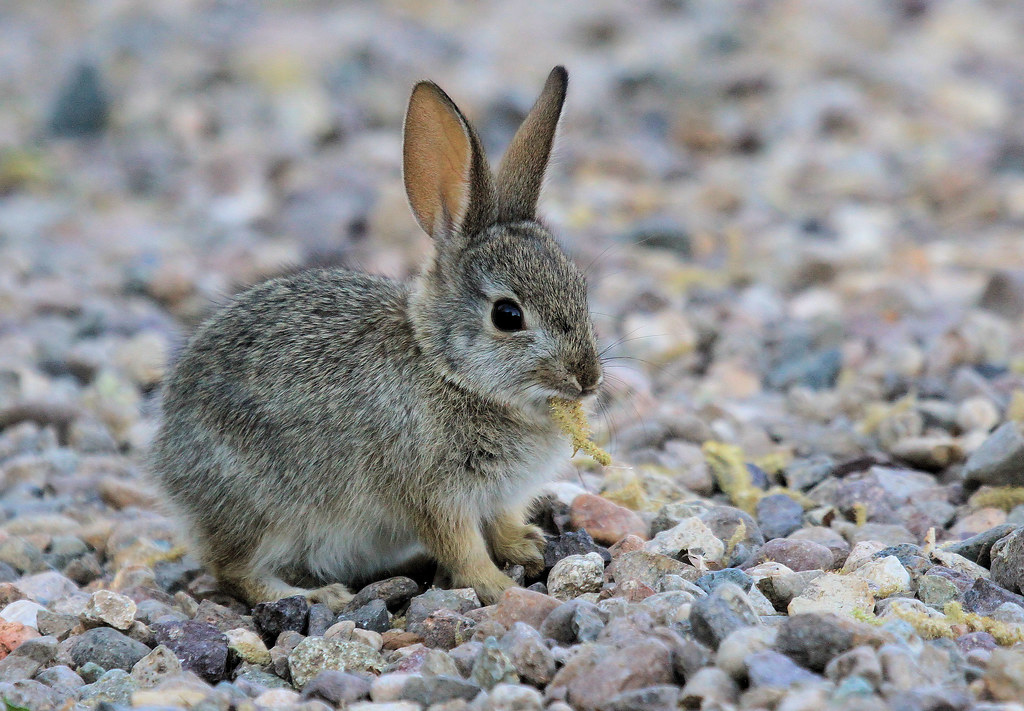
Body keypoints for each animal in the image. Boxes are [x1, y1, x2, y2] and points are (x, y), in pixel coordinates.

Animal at [150, 66, 602, 610]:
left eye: (580, 288)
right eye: (508, 315)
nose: (588, 379)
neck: (447, 369)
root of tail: (170, 466)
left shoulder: (497, 496)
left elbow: (501, 524)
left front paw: (527, 548)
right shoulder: (433, 492)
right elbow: (462, 545)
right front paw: (497, 586)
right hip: (264, 508)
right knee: (234, 570)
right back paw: (321, 597)